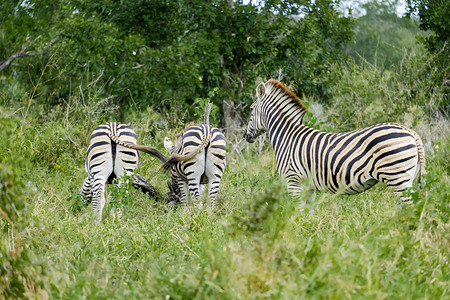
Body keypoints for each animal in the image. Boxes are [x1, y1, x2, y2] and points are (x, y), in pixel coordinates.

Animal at [244, 79, 428, 211]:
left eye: (251, 109)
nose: (246, 136)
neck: (287, 136)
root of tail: (411, 132)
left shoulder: (294, 182)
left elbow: (298, 212)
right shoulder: (308, 186)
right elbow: (307, 214)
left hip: (397, 177)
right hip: (407, 177)